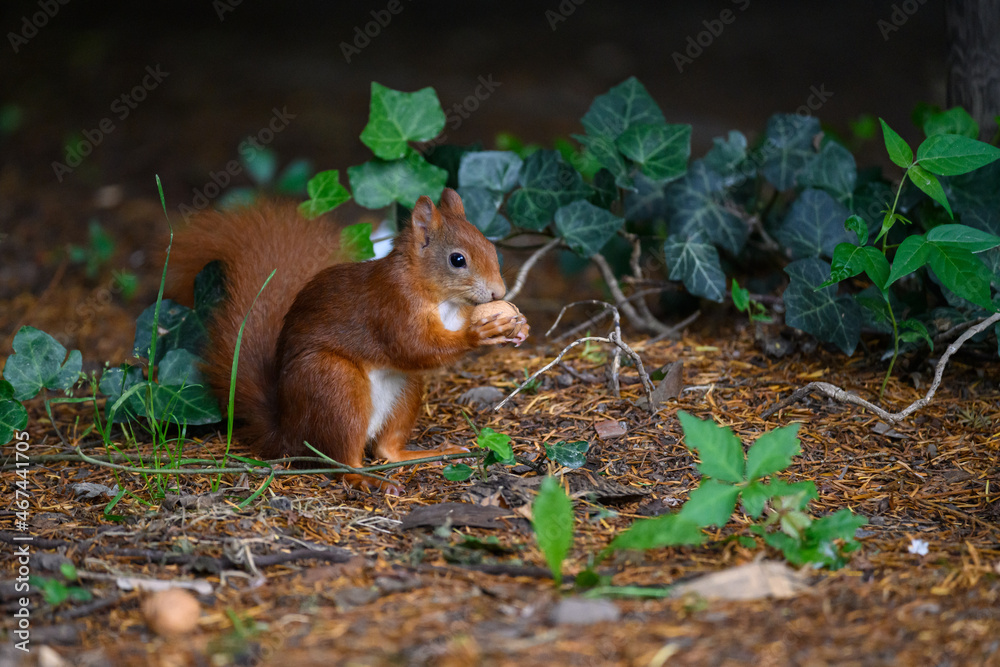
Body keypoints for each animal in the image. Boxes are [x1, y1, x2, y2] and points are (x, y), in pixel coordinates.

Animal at [164, 188, 528, 492]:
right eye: (457, 259)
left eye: (491, 248)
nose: (499, 293)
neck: (441, 298)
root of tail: (284, 431)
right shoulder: (391, 307)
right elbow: (415, 347)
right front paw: (479, 333)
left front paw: (518, 325)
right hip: (335, 386)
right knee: (341, 461)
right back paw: (366, 480)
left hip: (404, 389)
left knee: (385, 449)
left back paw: (427, 453)